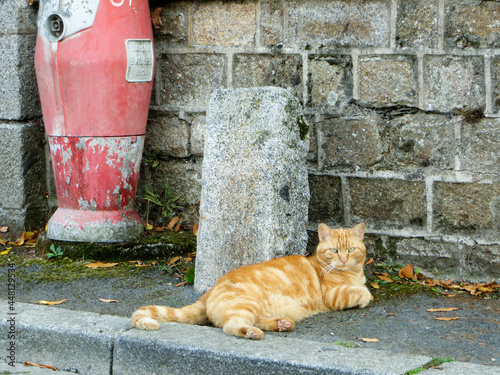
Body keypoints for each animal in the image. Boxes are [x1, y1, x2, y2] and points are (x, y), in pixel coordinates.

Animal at [131, 223, 374, 340]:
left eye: (351, 250)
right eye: (334, 251)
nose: (343, 260)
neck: (351, 273)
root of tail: (211, 289)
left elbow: (361, 288)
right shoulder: (332, 295)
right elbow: (362, 293)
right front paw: (364, 296)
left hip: (258, 307)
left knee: (254, 320)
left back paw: (282, 324)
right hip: (247, 303)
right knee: (230, 326)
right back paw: (252, 333)